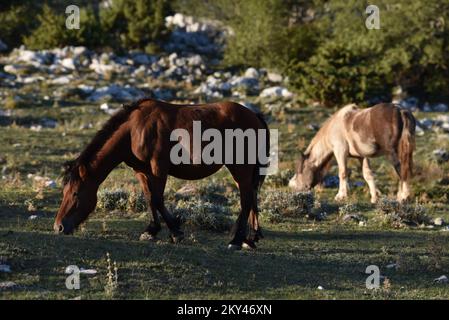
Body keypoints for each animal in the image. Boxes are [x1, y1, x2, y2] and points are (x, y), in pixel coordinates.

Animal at [54, 99, 268, 249]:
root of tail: (254, 115)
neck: (134, 130)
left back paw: (236, 240)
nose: (59, 227)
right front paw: (151, 230)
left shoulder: (159, 168)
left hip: (240, 168)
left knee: (246, 200)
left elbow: (157, 199)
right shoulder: (141, 171)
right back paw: (251, 238)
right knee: (252, 197)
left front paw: (175, 232)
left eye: (75, 193)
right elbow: (149, 198)